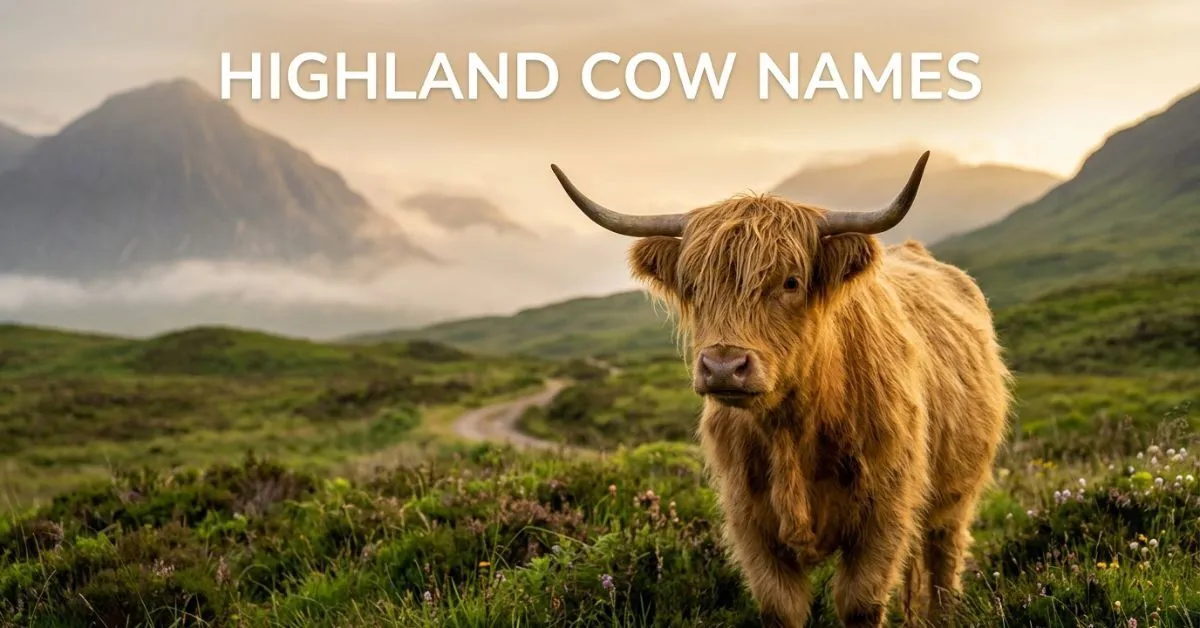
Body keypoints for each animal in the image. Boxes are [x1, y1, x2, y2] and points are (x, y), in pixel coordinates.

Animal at [549, 152, 1011, 627]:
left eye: (790, 281)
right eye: (693, 286)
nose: (723, 367)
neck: (794, 430)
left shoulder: (885, 514)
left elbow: (860, 604)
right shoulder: (750, 521)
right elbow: (780, 607)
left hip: (956, 497)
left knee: (943, 560)